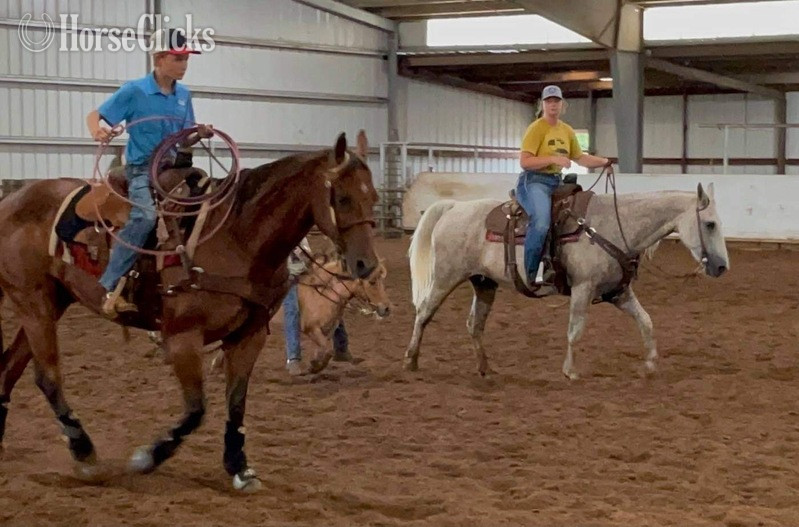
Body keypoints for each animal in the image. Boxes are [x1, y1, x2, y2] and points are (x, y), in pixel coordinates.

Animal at [0, 131, 379, 492]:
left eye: (373, 197)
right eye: (342, 198)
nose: (366, 264)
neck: (238, 238)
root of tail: (12, 201)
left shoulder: (249, 336)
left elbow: (236, 403)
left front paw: (240, 468)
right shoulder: (183, 337)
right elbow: (196, 410)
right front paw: (147, 458)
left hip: (52, 301)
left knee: (9, 369)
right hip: (34, 304)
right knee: (47, 378)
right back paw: (85, 453)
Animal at [404, 183, 729, 380]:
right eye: (710, 224)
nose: (722, 266)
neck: (613, 227)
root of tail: (454, 208)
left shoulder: (618, 293)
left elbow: (646, 321)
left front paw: (650, 364)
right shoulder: (583, 289)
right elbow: (575, 330)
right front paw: (570, 371)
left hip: (483, 282)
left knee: (475, 324)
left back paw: (484, 367)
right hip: (446, 277)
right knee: (423, 313)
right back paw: (411, 361)